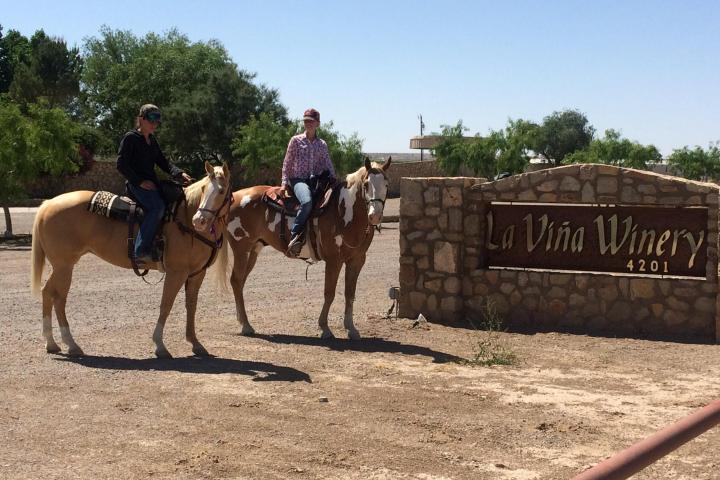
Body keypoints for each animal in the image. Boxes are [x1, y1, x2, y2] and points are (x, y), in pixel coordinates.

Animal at [30, 161, 232, 359]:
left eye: (221, 191)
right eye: (204, 189)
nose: (200, 220)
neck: (184, 217)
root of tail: (47, 204)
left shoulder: (197, 273)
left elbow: (191, 306)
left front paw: (196, 343)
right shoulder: (176, 272)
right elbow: (166, 305)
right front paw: (160, 345)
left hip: (61, 267)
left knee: (49, 294)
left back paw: (53, 343)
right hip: (64, 266)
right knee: (57, 297)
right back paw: (69, 344)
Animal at [214, 157, 391, 340]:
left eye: (386, 184)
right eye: (366, 184)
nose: (375, 216)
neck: (342, 211)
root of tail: (235, 197)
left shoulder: (357, 260)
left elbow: (350, 293)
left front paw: (351, 328)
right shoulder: (334, 260)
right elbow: (329, 293)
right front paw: (325, 328)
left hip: (253, 250)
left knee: (239, 282)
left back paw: (242, 321)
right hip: (241, 249)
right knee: (236, 280)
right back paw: (246, 326)